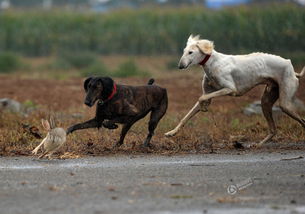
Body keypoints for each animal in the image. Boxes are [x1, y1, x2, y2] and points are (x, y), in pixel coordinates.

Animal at [166, 34, 304, 146]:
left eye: (190, 52)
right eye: (184, 51)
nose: (180, 66)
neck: (213, 62)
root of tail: (292, 68)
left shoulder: (230, 89)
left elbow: (202, 98)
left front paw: (204, 107)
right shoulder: (209, 92)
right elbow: (187, 116)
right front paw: (172, 132)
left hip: (285, 103)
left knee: (302, 120)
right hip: (266, 101)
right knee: (273, 130)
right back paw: (259, 144)